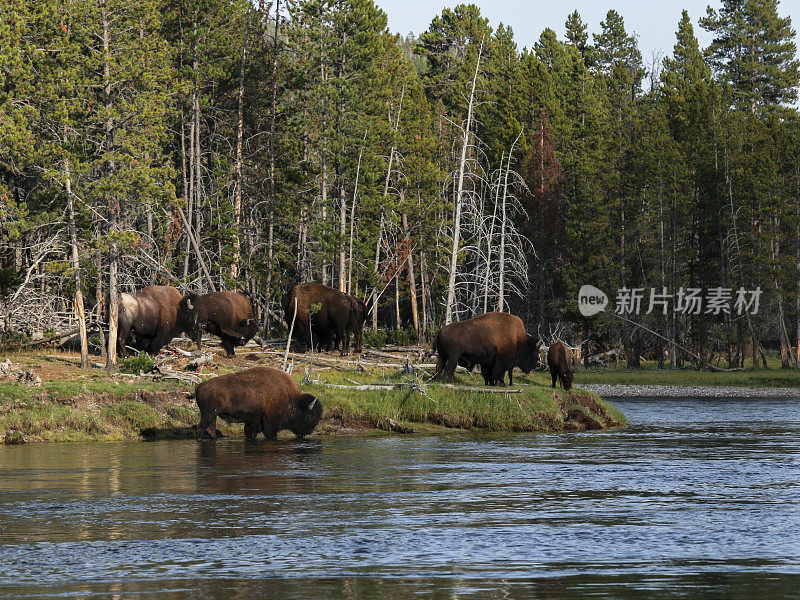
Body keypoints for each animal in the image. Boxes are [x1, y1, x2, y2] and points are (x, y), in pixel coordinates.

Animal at [192, 364, 320, 438]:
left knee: (211, 430)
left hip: (212, 416)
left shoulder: (253, 422)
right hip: (208, 415)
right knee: (200, 429)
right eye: (310, 416)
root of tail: (200, 386)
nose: (310, 431)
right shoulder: (270, 425)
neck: (292, 400)